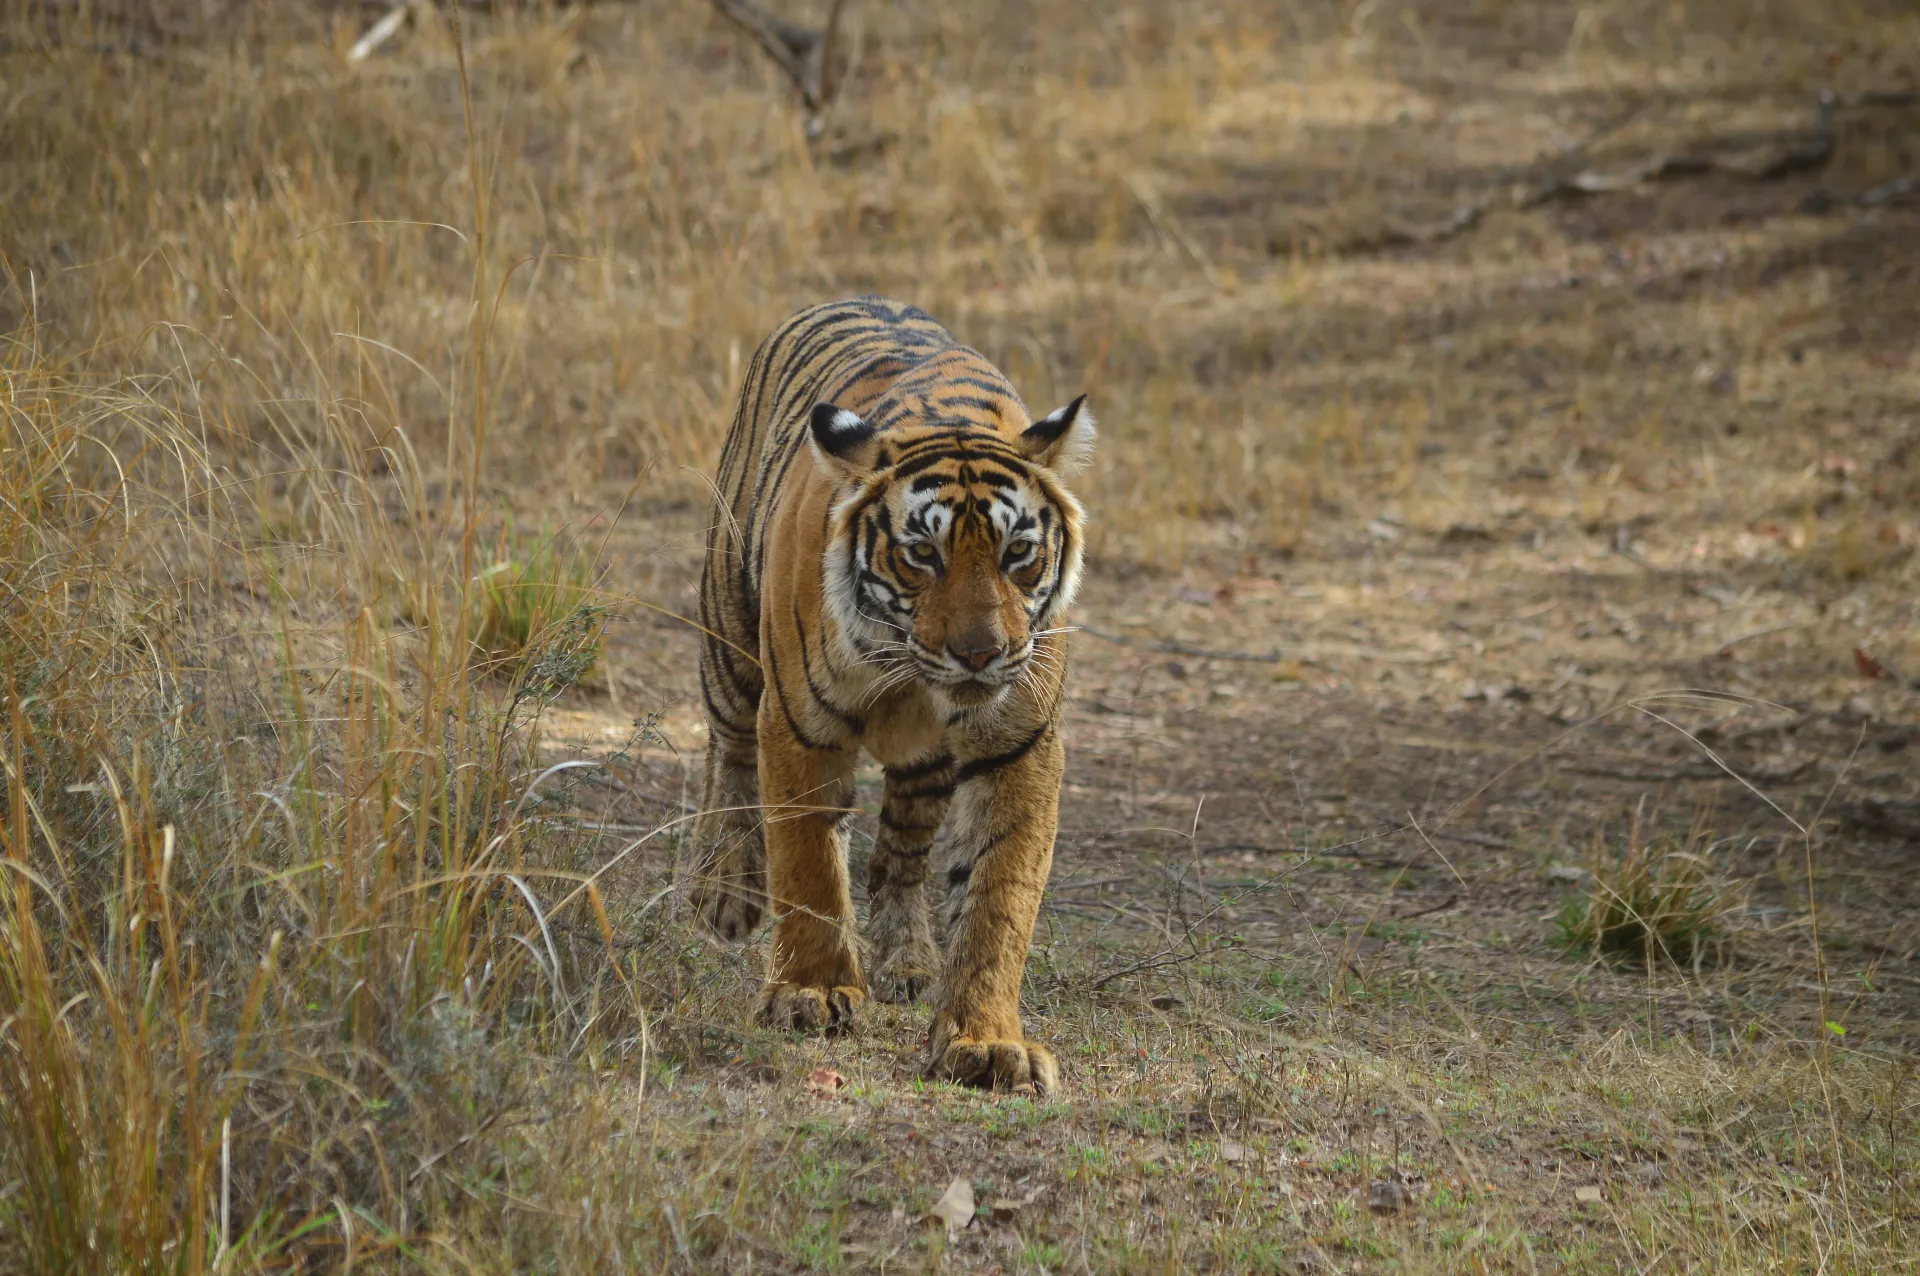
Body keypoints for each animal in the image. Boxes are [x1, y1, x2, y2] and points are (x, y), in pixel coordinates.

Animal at [689, 296, 1094, 1095]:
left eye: (1017, 553)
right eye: (922, 555)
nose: (980, 654)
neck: (911, 671)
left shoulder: (1019, 743)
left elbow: (1000, 897)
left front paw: (986, 1041)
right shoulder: (799, 724)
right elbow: (808, 863)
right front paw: (811, 993)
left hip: (926, 765)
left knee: (900, 856)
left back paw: (908, 960)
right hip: (731, 644)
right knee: (729, 756)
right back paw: (728, 892)